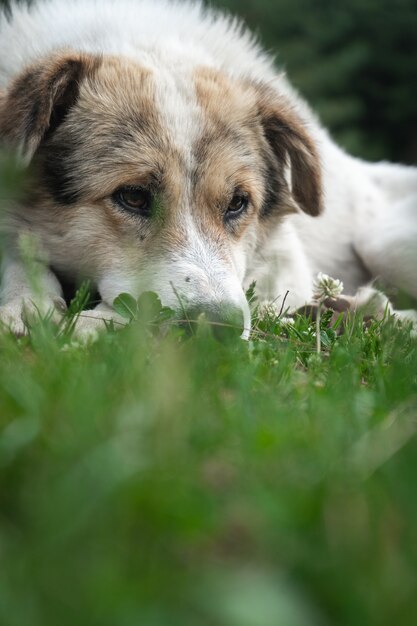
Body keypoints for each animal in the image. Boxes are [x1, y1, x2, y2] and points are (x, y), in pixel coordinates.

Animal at [0, 0, 414, 336]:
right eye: (133, 197)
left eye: (237, 203)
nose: (218, 330)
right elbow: (19, 251)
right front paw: (25, 303)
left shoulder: (285, 260)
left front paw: (96, 322)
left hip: (380, 242)